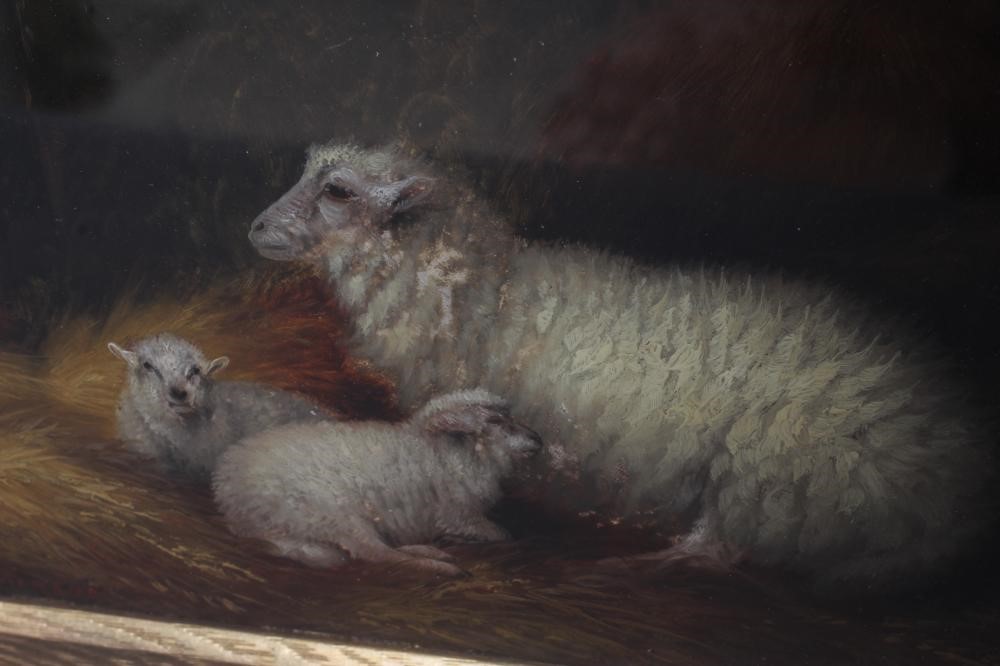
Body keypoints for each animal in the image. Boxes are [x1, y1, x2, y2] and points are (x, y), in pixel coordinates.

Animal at [212, 389, 542, 576]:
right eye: (496, 421)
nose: (538, 439)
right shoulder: (459, 514)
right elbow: (503, 534)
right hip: (335, 514)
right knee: (376, 555)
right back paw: (442, 565)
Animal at [246, 141, 993, 590]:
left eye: (338, 191)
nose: (255, 228)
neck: (489, 297)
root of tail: (957, 480)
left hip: (770, 472)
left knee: (722, 546)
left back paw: (645, 558)